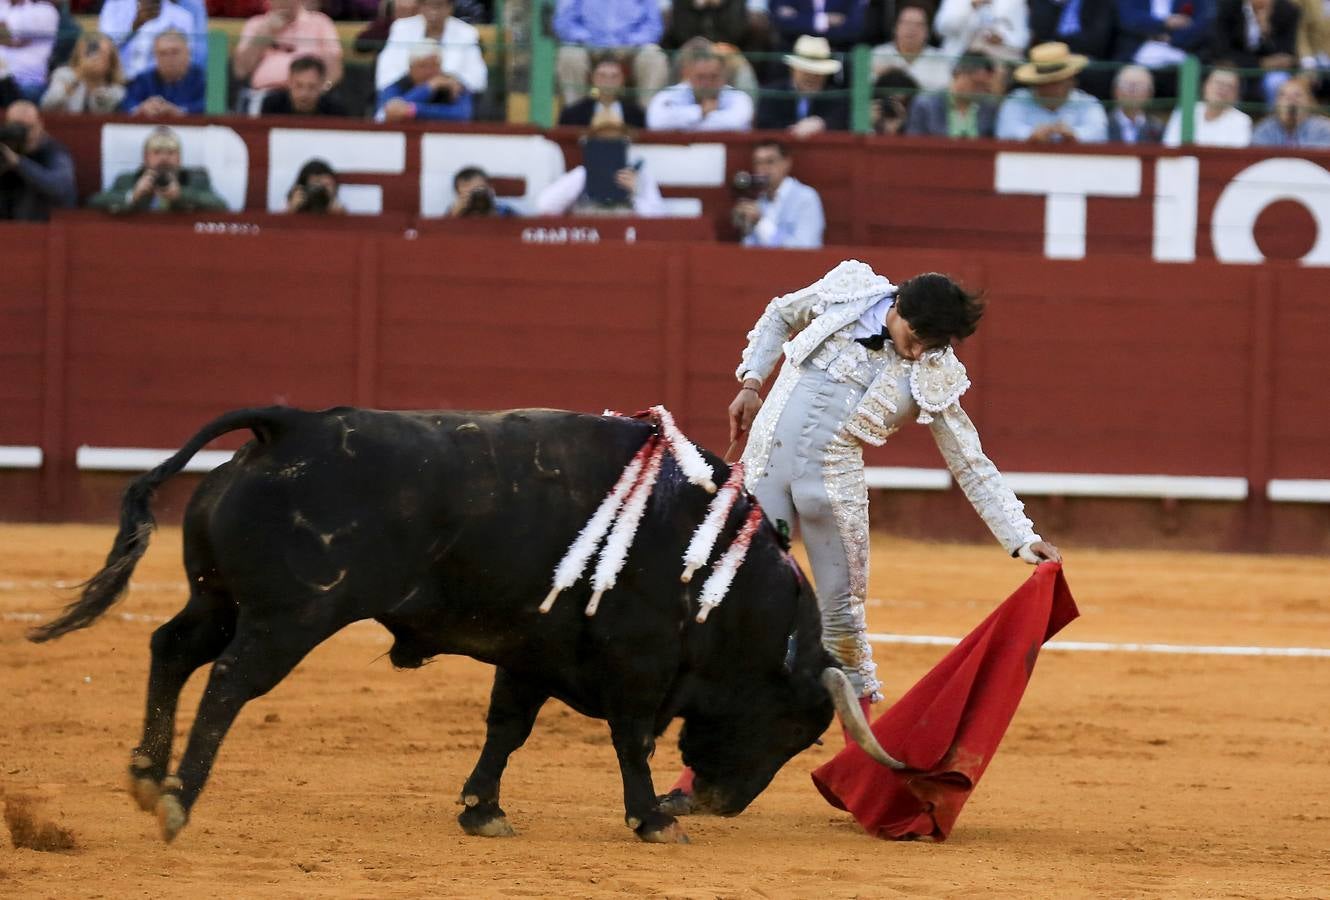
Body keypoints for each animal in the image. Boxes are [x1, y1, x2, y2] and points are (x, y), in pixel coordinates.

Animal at [28, 406, 893, 840]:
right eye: (798, 731)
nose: (718, 805)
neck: (712, 572)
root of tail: (291, 425)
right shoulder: (635, 662)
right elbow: (630, 740)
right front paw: (651, 820)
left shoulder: (534, 651)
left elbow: (506, 727)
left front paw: (483, 810)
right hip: (290, 615)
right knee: (231, 679)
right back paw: (178, 797)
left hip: (219, 598)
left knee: (172, 649)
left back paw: (146, 775)